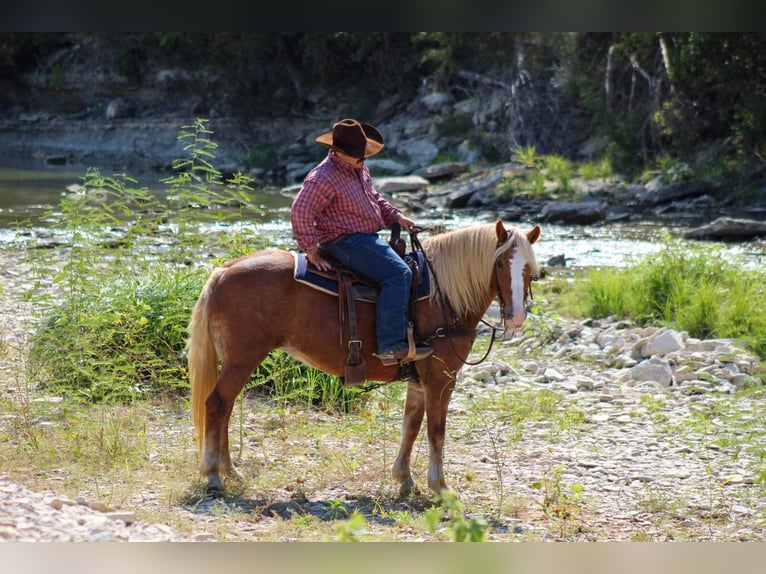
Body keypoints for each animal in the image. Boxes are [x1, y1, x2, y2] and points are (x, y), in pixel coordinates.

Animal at [188, 222, 544, 500]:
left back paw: (231, 472)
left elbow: (411, 425)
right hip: (242, 360)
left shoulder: (419, 379)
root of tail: (224, 270)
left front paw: (404, 480)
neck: (442, 296)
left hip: (236, 361)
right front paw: (440, 487)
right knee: (217, 405)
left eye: (529, 270)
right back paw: (214, 476)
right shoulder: (440, 378)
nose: (516, 318)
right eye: (500, 265)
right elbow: (436, 430)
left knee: (225, 408)